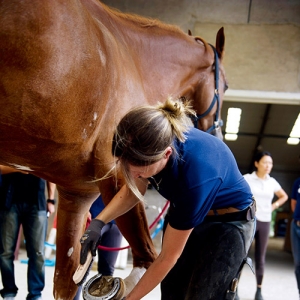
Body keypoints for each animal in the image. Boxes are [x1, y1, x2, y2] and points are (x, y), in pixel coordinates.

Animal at [0, 1, 226, 298]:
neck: (131, 56)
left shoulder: (76, 195)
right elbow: (145, 262)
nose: (220, 135)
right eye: (225, 85)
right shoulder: (117, 174)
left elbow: (66, 280)